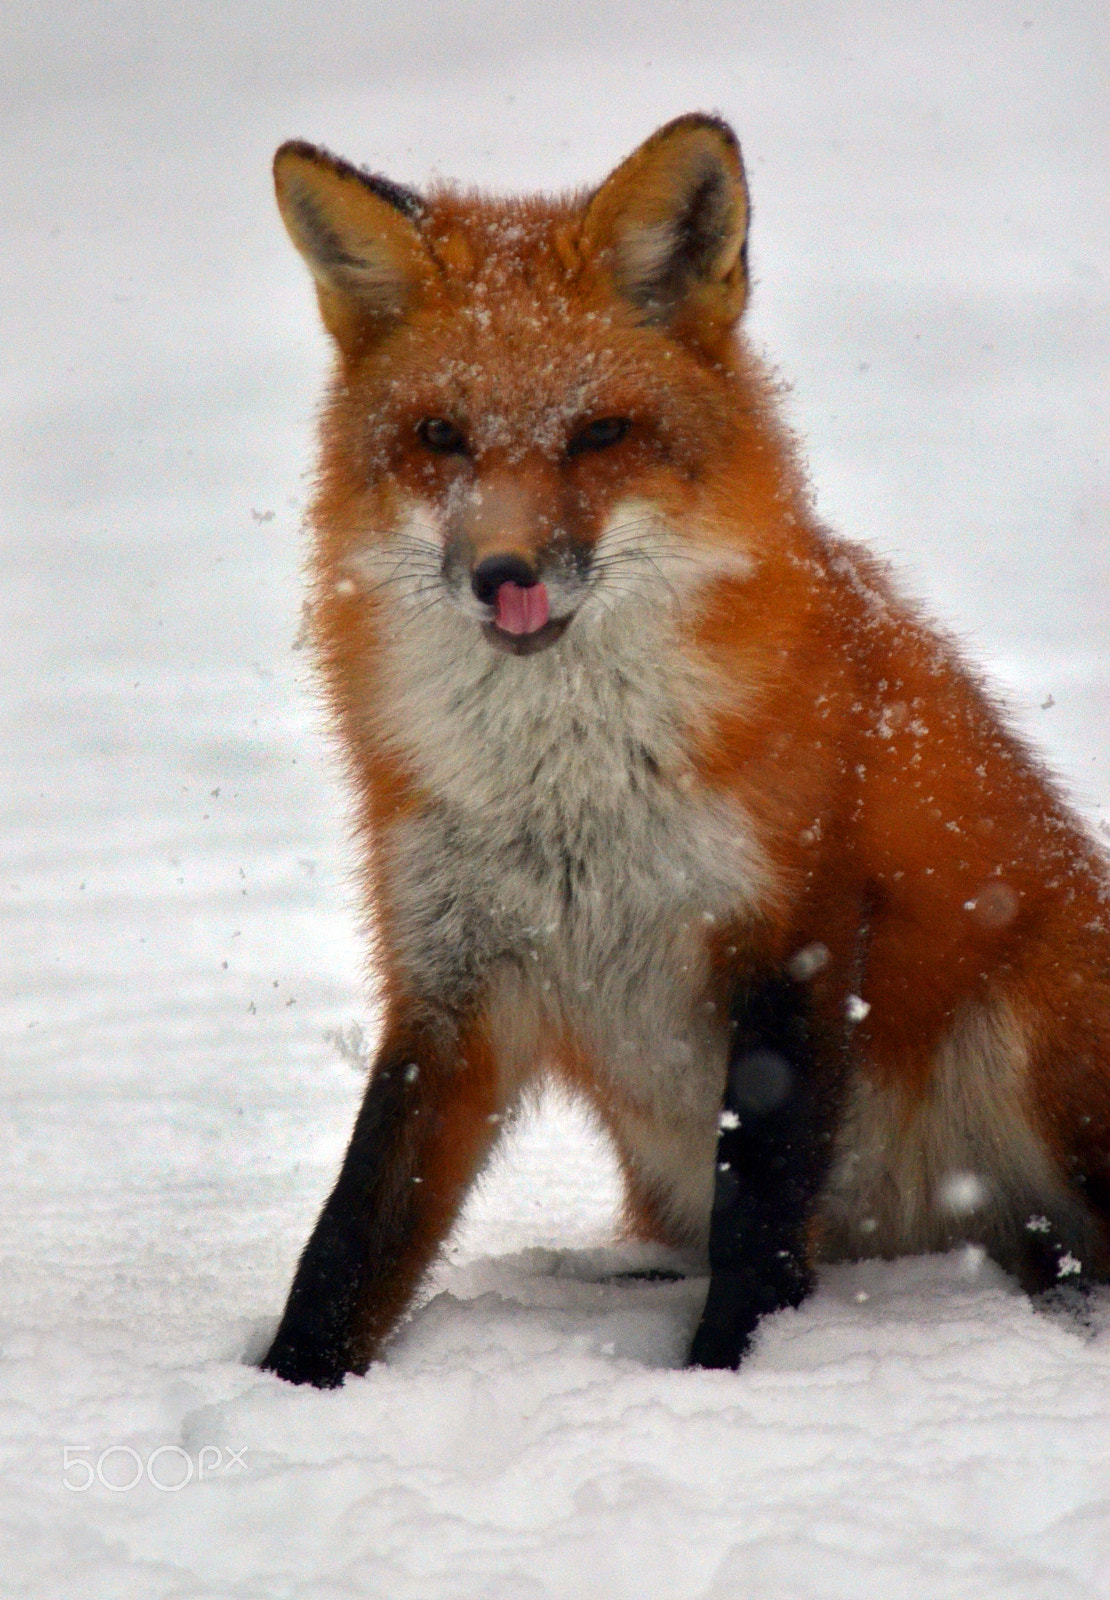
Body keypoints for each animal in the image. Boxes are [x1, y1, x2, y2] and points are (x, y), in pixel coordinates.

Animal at [262, 116, 1110, 1388]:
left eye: (600, 433)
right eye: (440, 438)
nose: (503, 574)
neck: (569, 791)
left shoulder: (793, 931)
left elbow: (758, 1216)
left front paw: (720, 1383)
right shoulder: (450, 973)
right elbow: (352, 1235)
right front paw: (287, 1388)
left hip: (1029, 1035)